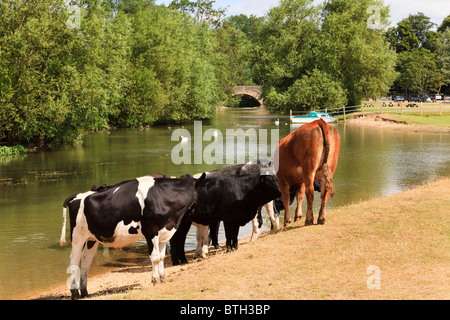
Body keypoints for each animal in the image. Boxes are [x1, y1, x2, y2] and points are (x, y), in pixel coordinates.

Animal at [59, 174, 202, 298]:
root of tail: (79, 196)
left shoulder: (164, 232)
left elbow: (161, 257)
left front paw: (162, 278)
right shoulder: (151, 231)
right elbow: (155, 258)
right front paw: (155, 280)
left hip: (91, 239)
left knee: (86, 261)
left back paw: (84, 292)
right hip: (77, 237)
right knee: (74, 261)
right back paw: (75, 293)